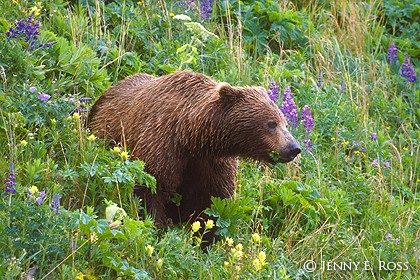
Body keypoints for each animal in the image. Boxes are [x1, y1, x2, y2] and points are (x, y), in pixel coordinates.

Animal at [88, 71, 300, 225]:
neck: (191, 136)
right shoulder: (162, 143)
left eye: (285, 123)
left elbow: (209, 202)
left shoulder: (211, 163)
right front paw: (156, 225)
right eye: (271, 123)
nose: (294, 148)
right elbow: (150, 188)